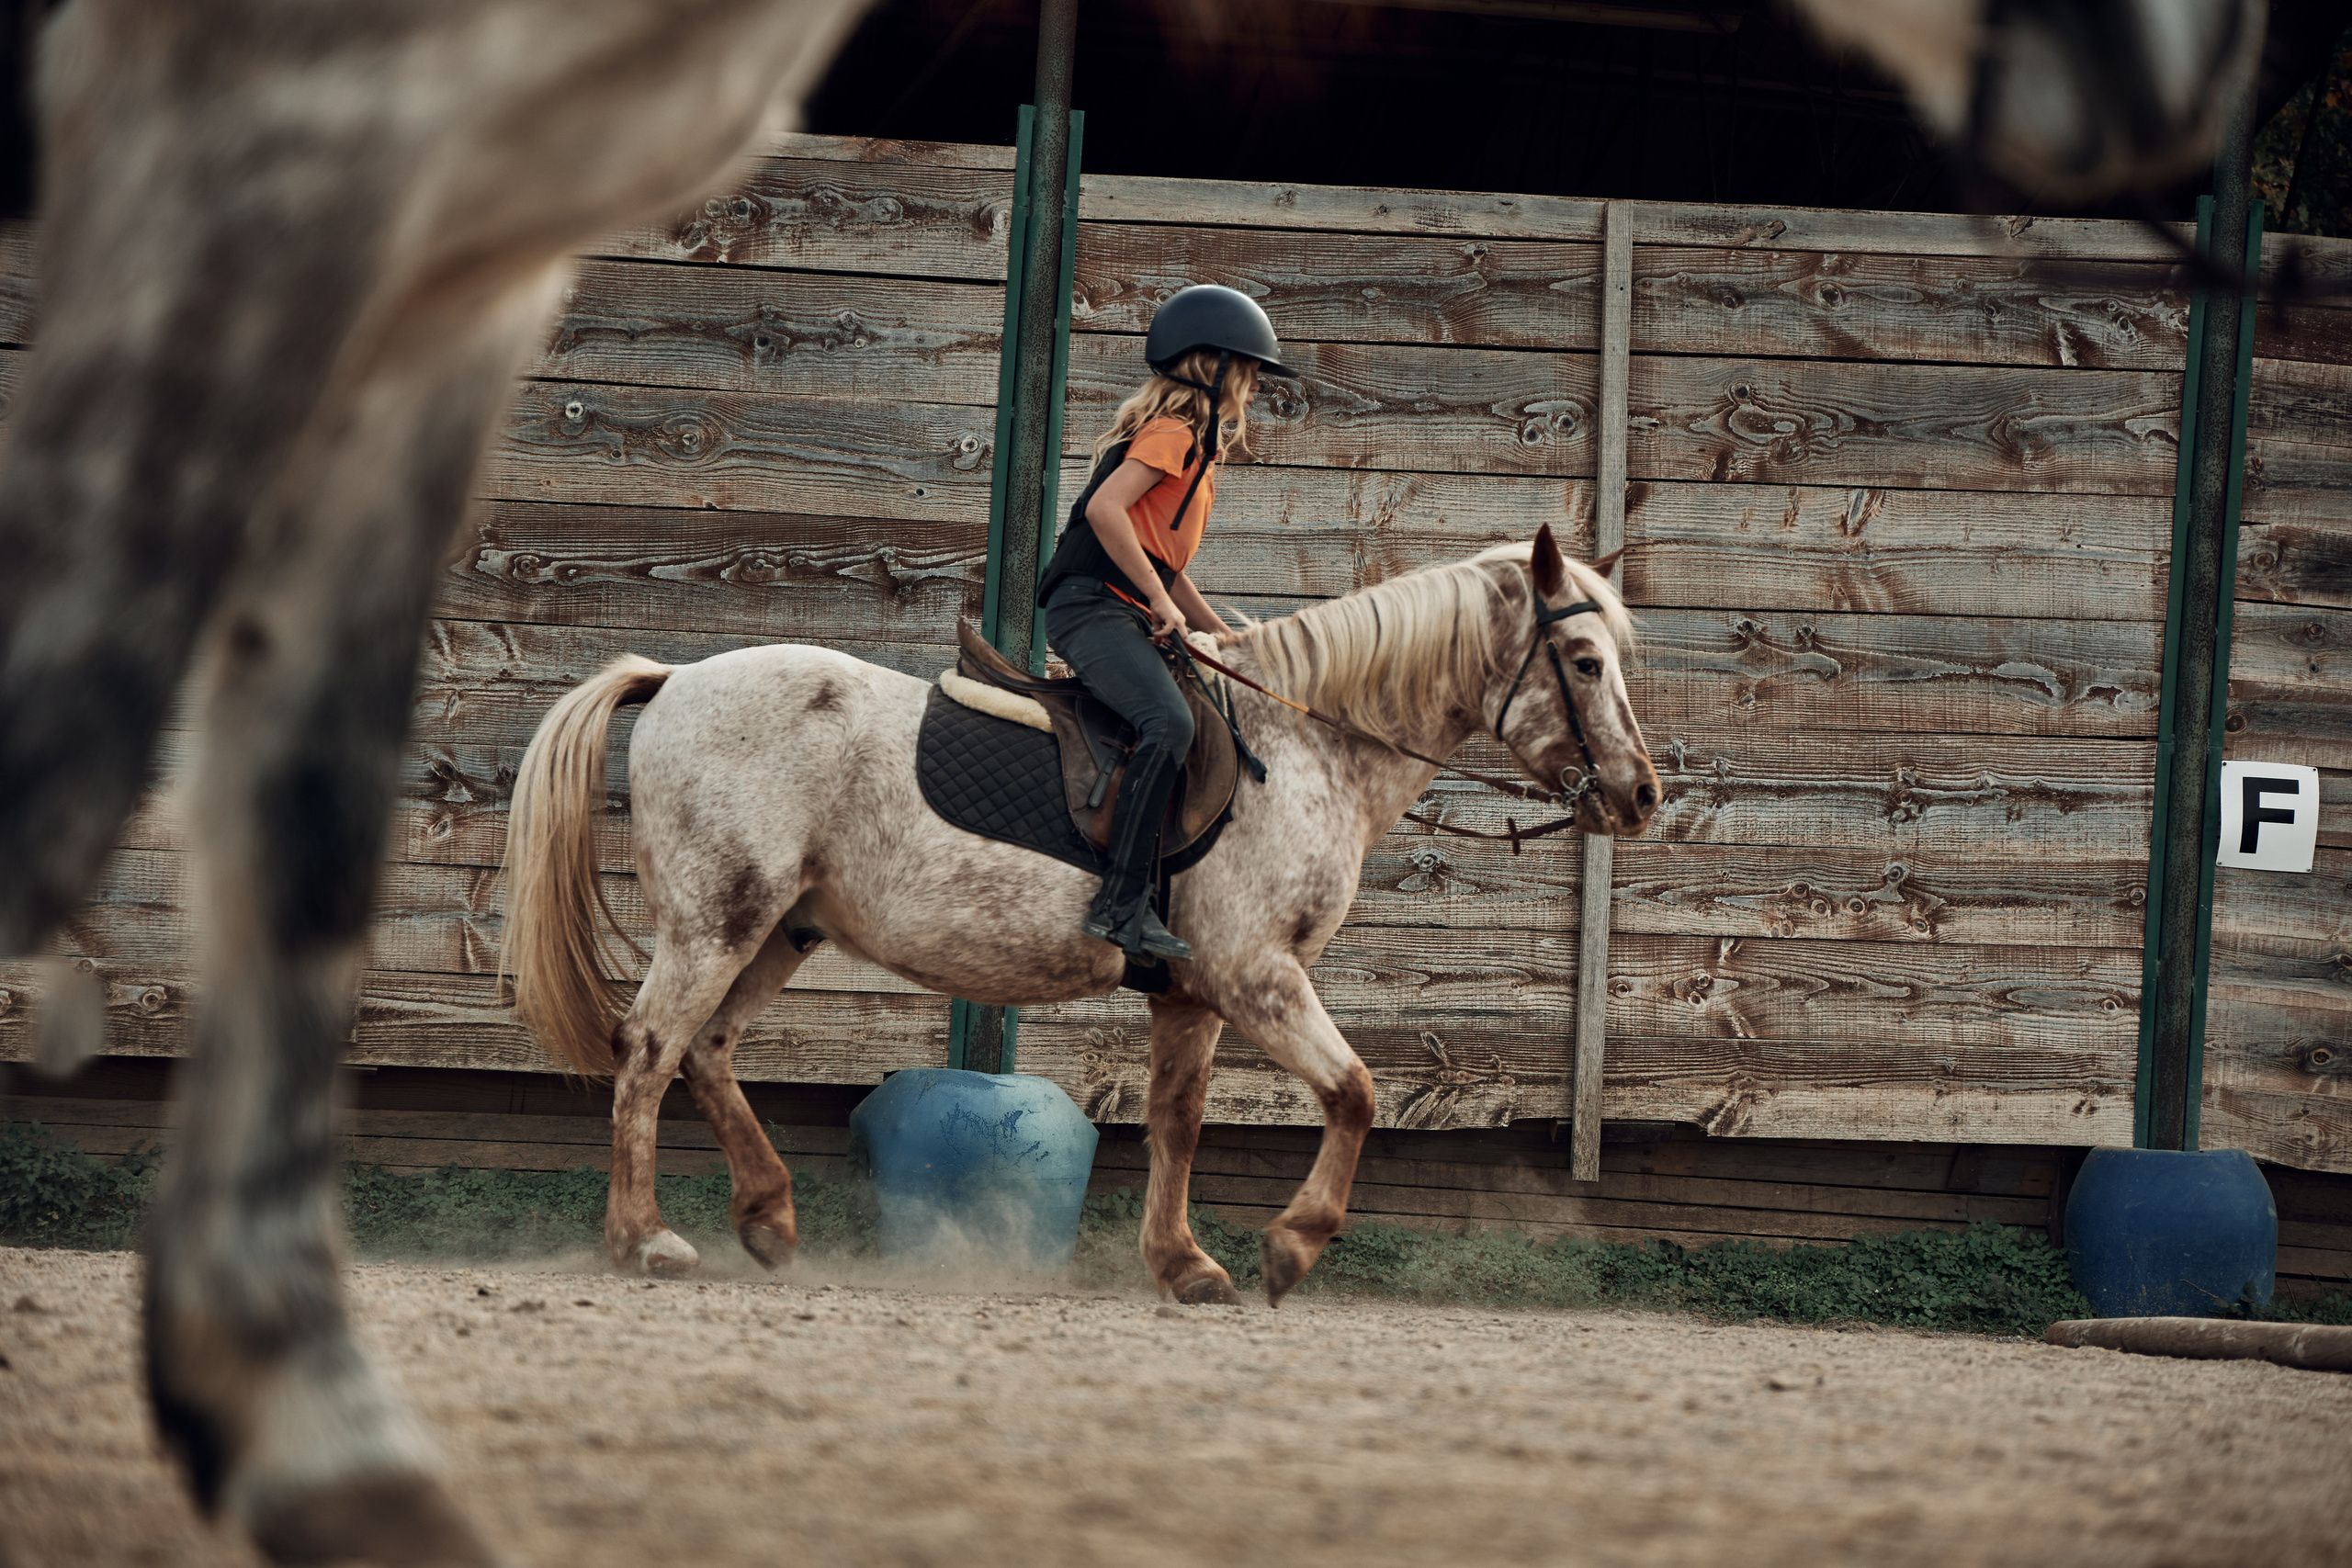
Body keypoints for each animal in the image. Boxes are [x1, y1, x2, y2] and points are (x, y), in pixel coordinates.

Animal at [0, 1, 868, 1561]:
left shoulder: (446, 272)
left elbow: (309, 830)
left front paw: (302, 1420)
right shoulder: (252, 147)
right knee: (665, 1039)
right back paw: (667, 1233)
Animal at [500, 527, 1659, 1302]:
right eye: (1586, 662)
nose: (1641, 795)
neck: (1301, 749)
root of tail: (675, 677)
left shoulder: (1192, 994)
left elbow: (1177, 1120)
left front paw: (1182, 1264)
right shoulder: (1256, 975)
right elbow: (1356, 1093)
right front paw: (1290, 1246)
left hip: (781, 928)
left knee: (708, 1052)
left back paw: (769, 1215)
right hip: (716, 921)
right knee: (651, 1049)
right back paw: (644, 1239)